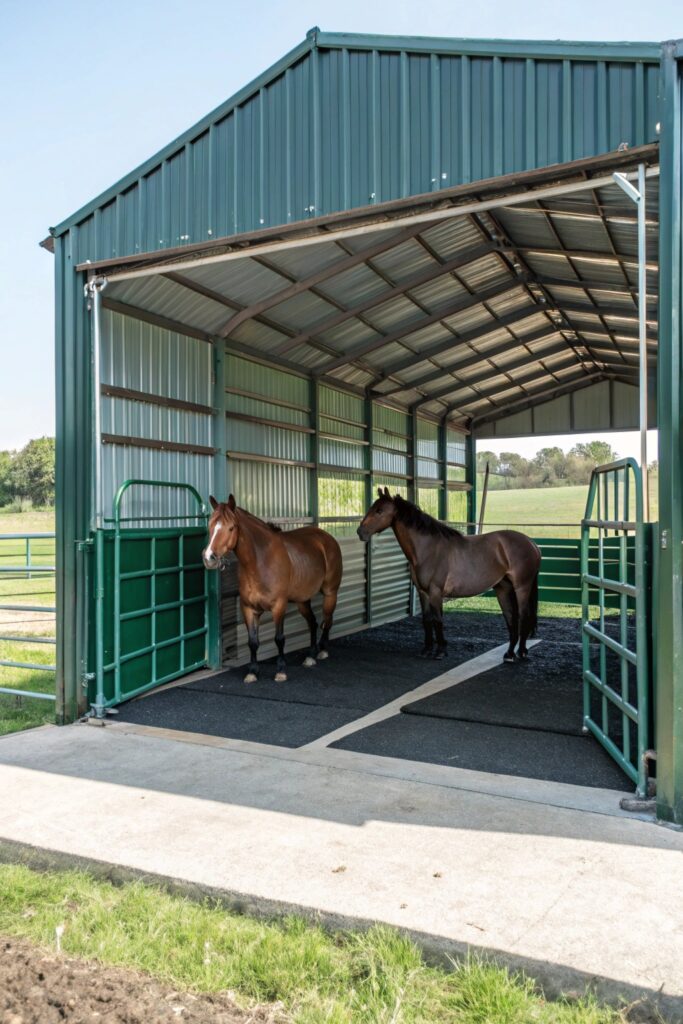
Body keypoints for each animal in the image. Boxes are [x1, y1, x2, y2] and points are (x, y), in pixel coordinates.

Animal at [202, 495, 343, 683]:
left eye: (231, 527)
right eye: (210, 525)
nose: (209, 558)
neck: (260, 562)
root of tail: (327, 538)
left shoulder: (279, 606)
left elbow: (279, 639)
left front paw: (281, 671)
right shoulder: (248, 609)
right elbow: (252, 642)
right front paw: (253, 672)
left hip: (330, 593)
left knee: (326, 620)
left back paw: (322, 651)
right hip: (302, 600)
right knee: (313, 622)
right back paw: (310, 655)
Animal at [357, 488, 541, 663]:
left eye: (379, 511)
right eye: (372, 508)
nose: (360, 532)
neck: (428, 549)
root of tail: (532, 543)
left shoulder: (435, 592)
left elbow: (438, 620)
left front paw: (440, 651)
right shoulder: (423, 593)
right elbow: (427, 620)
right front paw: (427, 650)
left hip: (522, 587)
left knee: (523, 617)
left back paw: (521, 652)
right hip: (502, 588)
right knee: (511, 618)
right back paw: (509, 654)